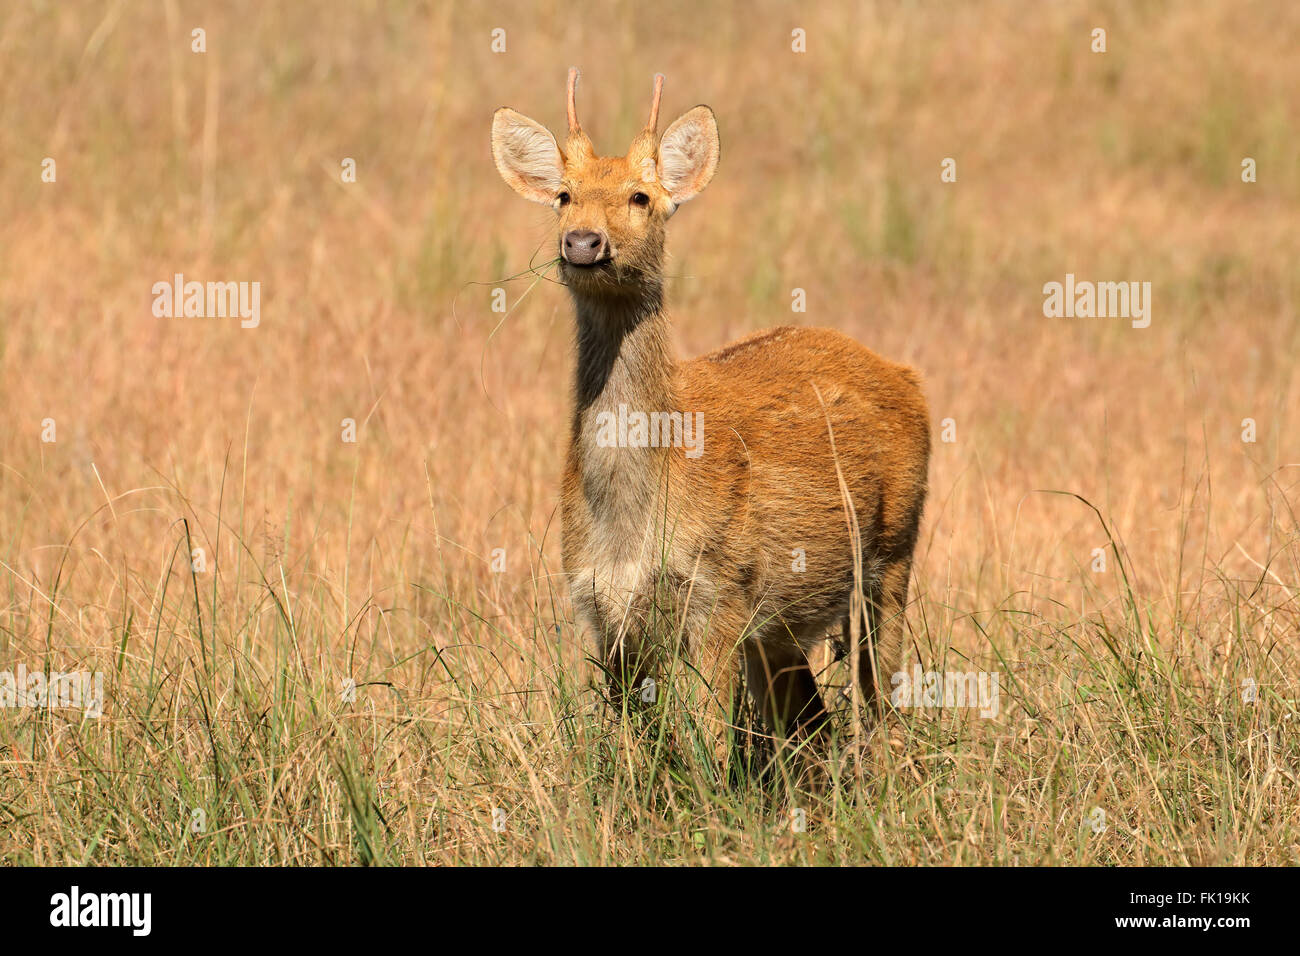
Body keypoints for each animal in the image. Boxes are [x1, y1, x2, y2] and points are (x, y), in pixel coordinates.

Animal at [491, 67, 930, 754]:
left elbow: (707, 744)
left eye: (641, 197)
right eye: (564, 195)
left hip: (894, 550)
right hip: (784, 625)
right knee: (811, 722)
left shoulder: (720, 594)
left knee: (880, 699)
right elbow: (637, 748)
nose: (583, 242)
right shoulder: (603, 610)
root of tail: (907, 377)